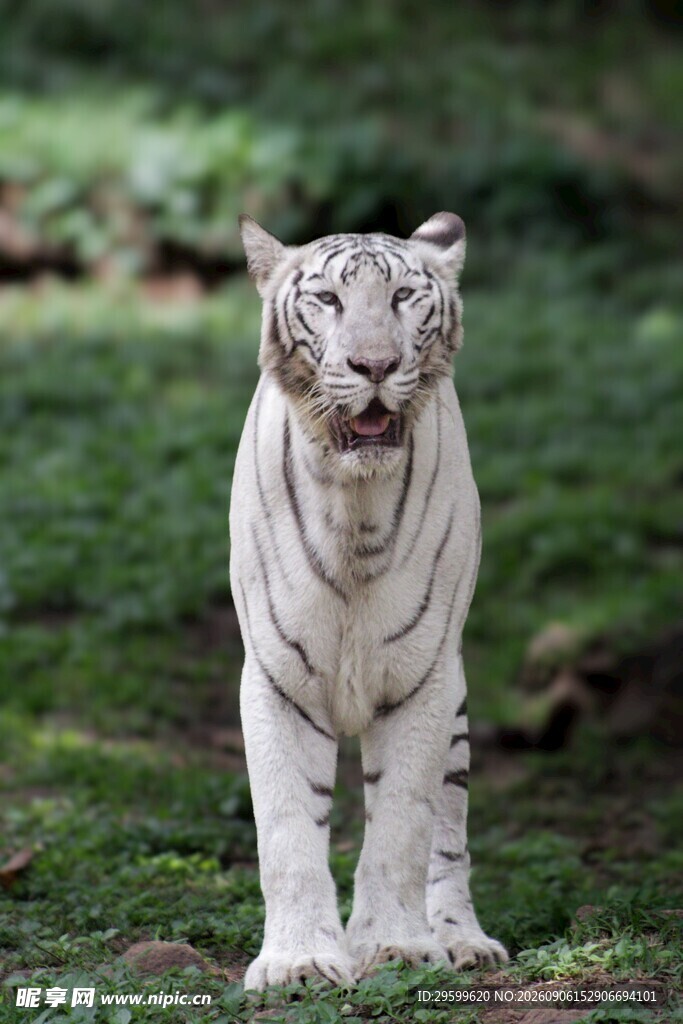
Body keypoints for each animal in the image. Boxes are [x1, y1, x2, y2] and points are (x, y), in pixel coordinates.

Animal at [229, 211, 508, 990]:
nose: (375, 366)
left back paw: (463, 940)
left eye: (404, 297)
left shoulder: (423, 679)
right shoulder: (277, 678)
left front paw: (395, 947)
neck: (354, 502)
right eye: (327, 299)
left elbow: (402, 830)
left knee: (448, 835)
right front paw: (297, 962)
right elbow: (288, 833)